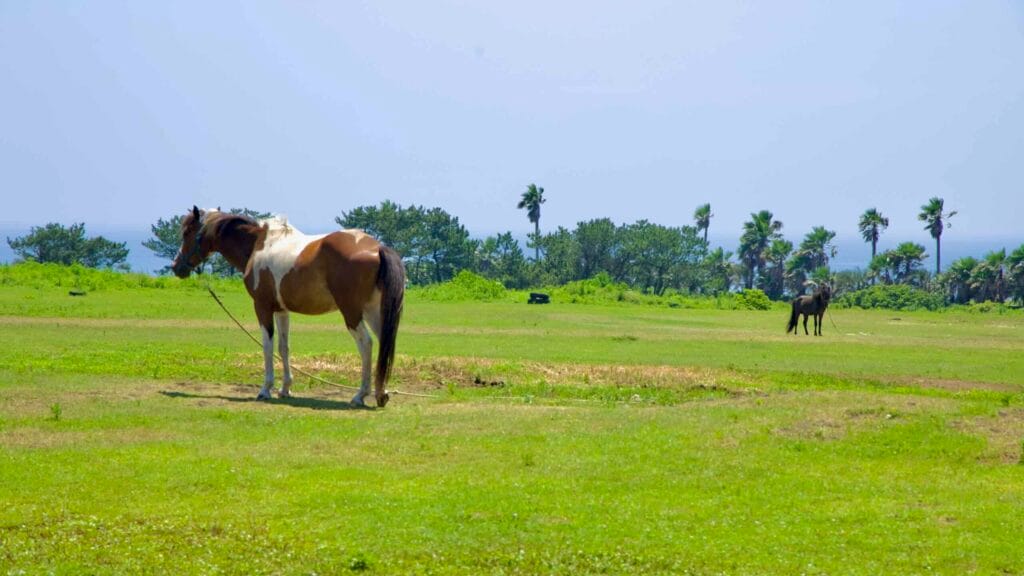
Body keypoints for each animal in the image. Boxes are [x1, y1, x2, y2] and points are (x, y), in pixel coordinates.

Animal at [172, 206, 405, 407]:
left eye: (187, 232)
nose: (176, 266)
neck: (259, 244)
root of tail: (376, 247)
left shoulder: (262, 307)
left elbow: (267, 346)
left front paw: (265, 389)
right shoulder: (281, 310)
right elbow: (284, 347)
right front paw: (285, 389)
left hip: (352, 312)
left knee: (366, 344)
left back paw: (360, 395)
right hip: (374, 312)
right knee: (384, 343)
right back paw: (381, 394)